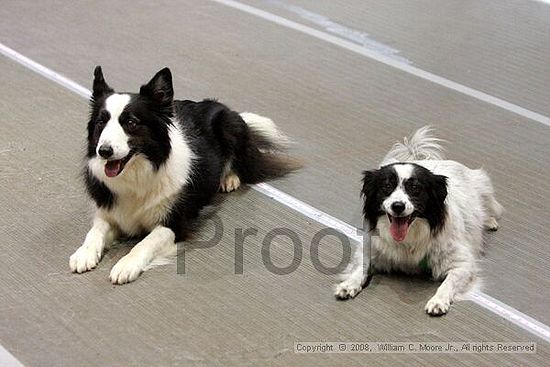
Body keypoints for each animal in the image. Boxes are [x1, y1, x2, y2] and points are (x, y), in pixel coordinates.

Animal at [72, 66, 302, 284]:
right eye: (101, 122)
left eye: (131, 122)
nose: (104, 151)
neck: (138, 174)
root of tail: (216, 105)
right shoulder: (110, 213)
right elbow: (95, 231)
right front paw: (83, 253)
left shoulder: (173, 223)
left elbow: (145, 243)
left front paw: (126, 265)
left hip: (229, 125)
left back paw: (229, 178)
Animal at [336, 127, 504, 316]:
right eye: (386, 186)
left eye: (415, 188)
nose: (398, 206)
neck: (410, 239)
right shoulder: (370, 247)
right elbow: (360, 267)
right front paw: (349, 284)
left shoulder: (463, 264)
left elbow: (448, 283)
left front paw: (438, 301)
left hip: (484, 187)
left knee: (490, 208)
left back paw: (489, 221)